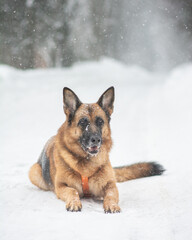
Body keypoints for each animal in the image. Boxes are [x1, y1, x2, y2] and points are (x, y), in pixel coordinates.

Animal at [28, 87, 165, 213]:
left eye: (100, 121)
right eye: (83, 122)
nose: (96, 140)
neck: (87, 161)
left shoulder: (110, 184)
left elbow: (110, 195)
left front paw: (111, 205)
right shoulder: (61, 186)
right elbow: (73, 191)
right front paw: (74, 203)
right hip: (33, 171)